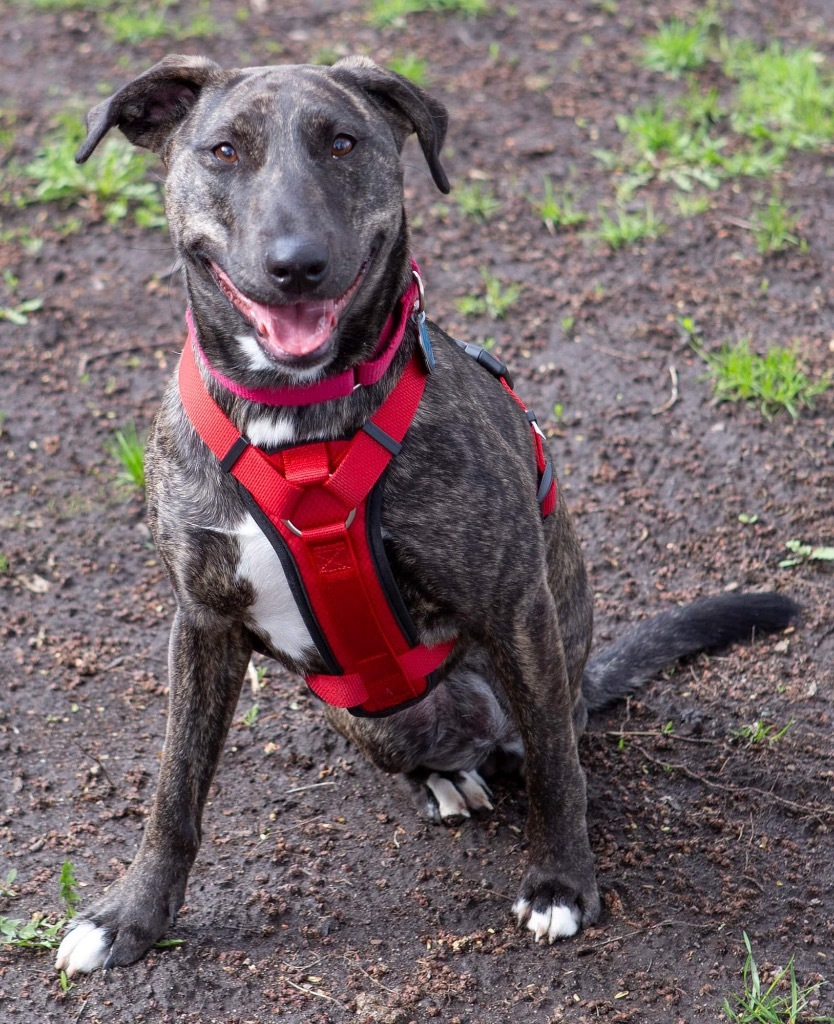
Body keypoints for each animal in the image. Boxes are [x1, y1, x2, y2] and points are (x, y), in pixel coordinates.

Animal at [53, 56, 795, 974]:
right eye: (224, 150)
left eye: (343, 142)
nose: (296, 264)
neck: (296, 423)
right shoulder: (202, 621)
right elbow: (174, 790)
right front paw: (131, 916)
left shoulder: (514, 607)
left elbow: (557, 775)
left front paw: (561, 884)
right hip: (368, 720)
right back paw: (440, 777)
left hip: (537, 675)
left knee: (549, 744)